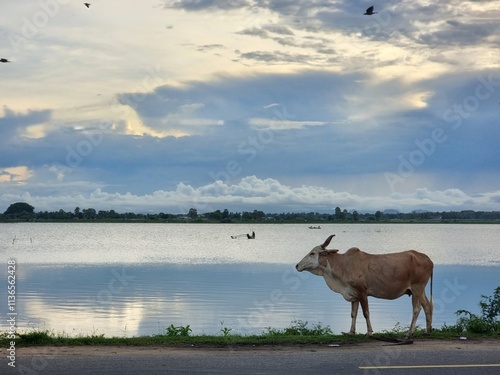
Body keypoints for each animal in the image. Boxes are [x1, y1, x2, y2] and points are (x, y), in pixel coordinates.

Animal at [294, 235, 432, 338]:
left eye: (312, 253)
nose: (297, 265)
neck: (343, 265)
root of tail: (427, 258)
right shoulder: (353, 294)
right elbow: (353, 314)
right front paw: (351, 332)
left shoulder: (362, 292)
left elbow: (366, 312)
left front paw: (369, 332)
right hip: (419, 290)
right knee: (427, 306)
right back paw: (428, 330)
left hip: (417, 288)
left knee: (416, 309)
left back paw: (409, 333)